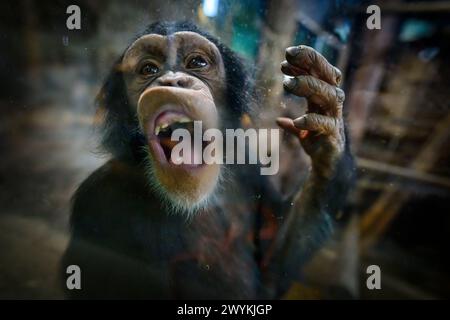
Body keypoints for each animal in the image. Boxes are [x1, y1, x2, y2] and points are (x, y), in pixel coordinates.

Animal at [60, 21, 356, 298]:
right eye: (148, 69)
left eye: (197, 63)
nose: (172, 81)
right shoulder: (99, 201)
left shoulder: (246, 164)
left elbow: (272, 267)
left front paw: (328, 127)